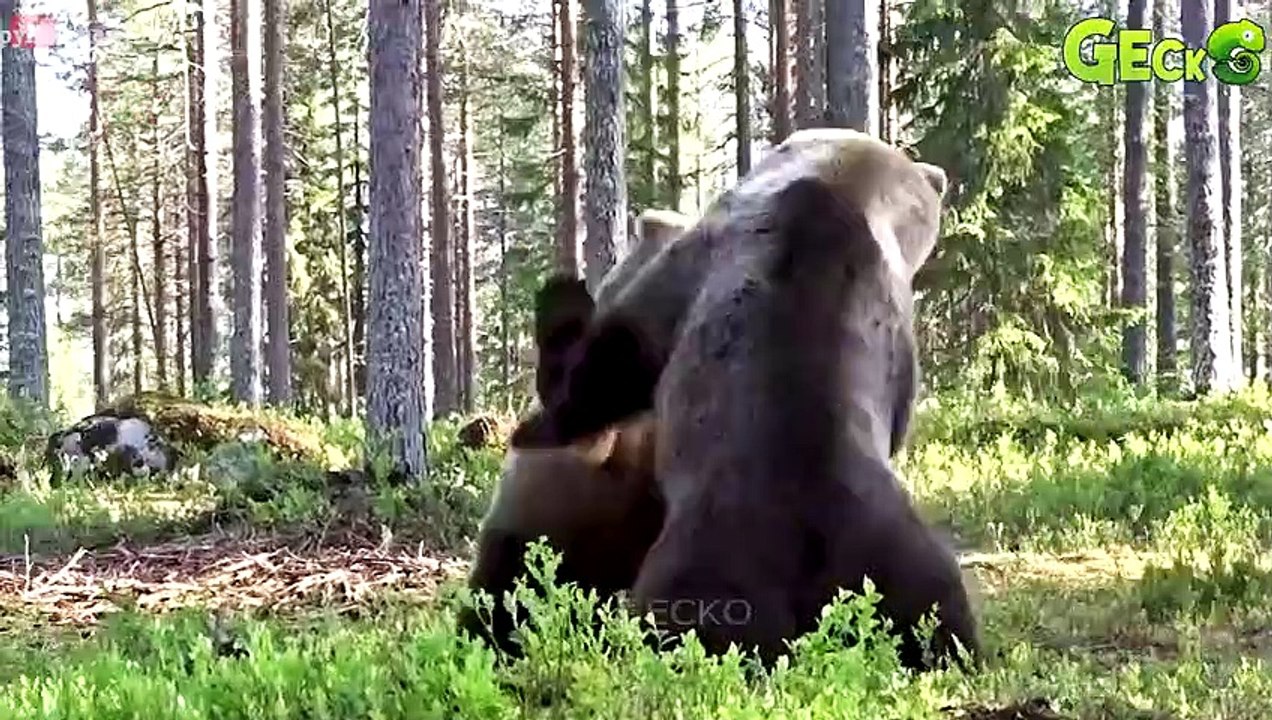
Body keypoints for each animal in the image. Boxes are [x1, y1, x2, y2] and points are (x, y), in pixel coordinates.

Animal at [509, 128, 979, 671]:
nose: (940, 175)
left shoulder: (701, 255)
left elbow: (621, 352)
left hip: (717, 565)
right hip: (888, 556)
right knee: (939, 613)